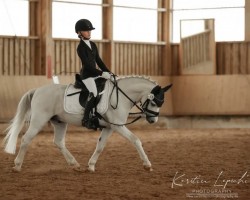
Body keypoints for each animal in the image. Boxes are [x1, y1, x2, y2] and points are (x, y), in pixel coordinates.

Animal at [3, 76, 172, 173]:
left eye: (161, 103)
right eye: (154, 101)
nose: (153, 121)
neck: (121, 96)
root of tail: (37, 90)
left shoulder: (109, 127)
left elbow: (100, 146)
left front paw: (90, 166)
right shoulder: (118, 126)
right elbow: (136, 140)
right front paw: (147, 165)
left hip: (59, 122)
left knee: (58, 142)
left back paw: (75, 164)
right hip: (39, 120)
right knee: (26, 139)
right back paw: (17, 165)